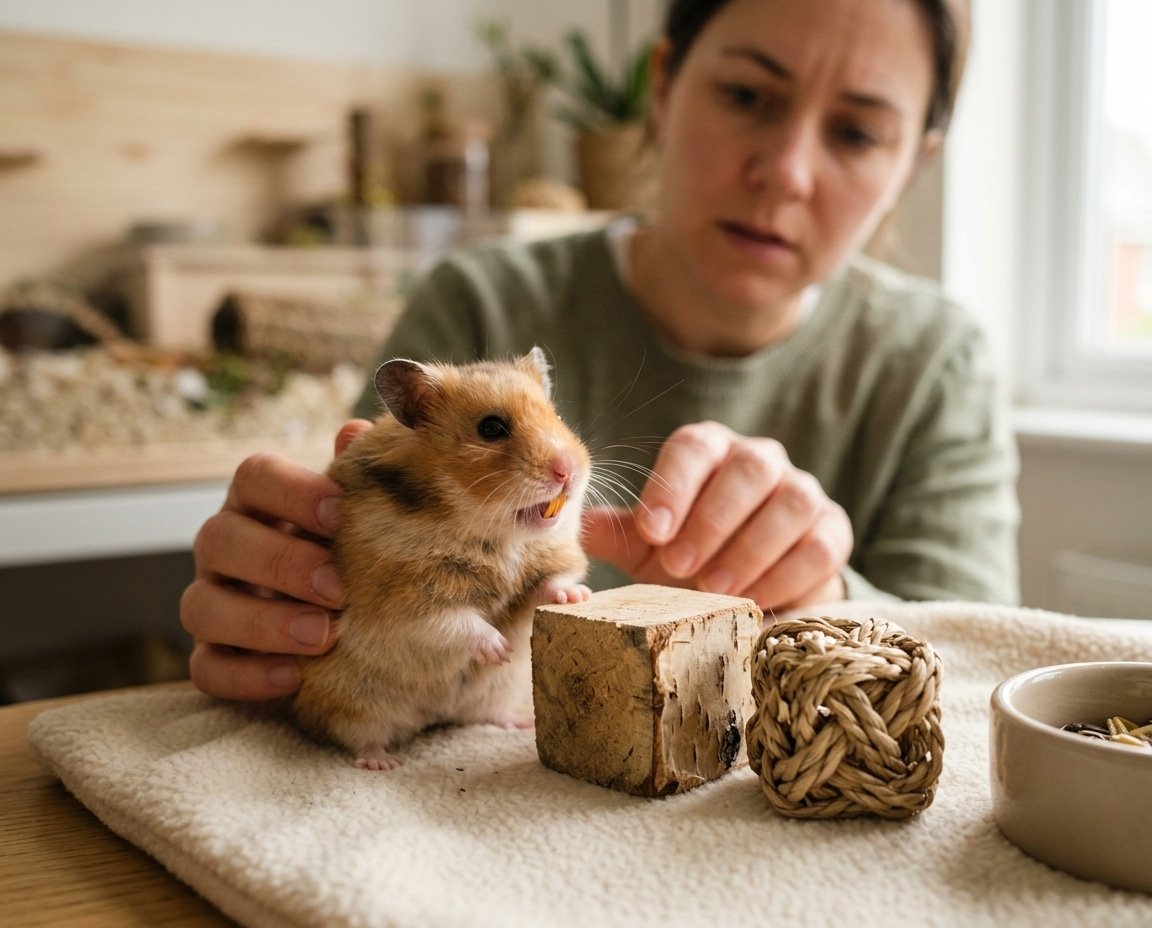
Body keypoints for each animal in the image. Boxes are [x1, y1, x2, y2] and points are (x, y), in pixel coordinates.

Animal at [293, 347, 591, 770]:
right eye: (491, 428)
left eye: (558, 416)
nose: (568, 472)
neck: (498, 537)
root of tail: (432, 716)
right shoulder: (407, 601)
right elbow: (455, 621)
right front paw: (500, 649)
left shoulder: (544, 564)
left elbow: (549, 583)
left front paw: (576, 597)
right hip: (350, 700)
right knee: (356, 735)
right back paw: (382, 762)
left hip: (497, 692)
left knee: (483, 714)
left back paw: (517, 723)